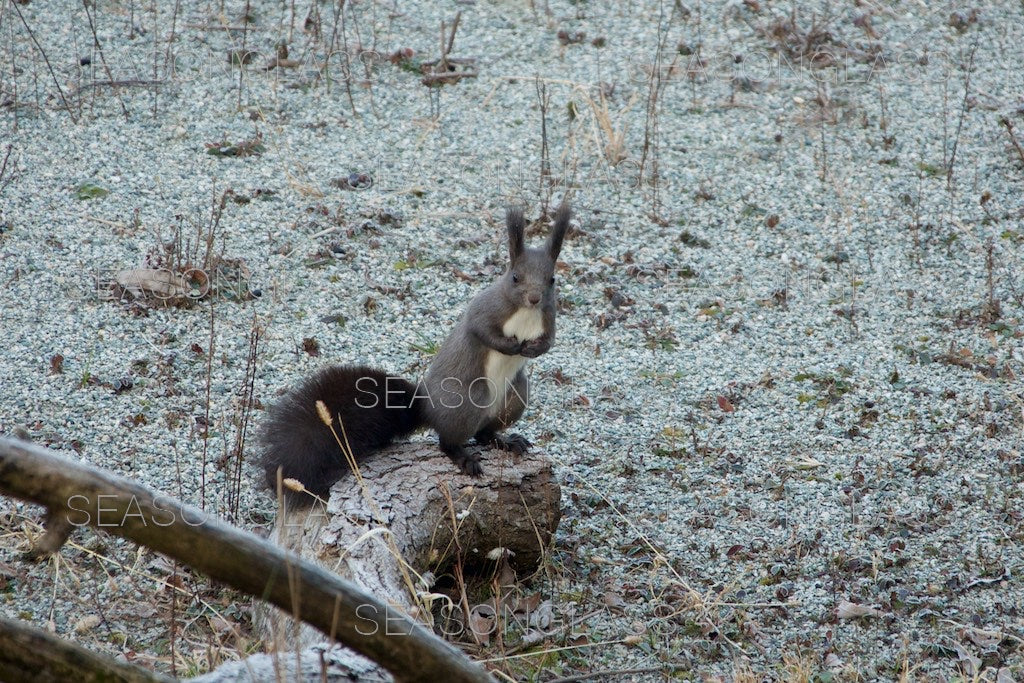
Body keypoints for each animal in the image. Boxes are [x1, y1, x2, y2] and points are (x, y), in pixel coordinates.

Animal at [260, 200, 573, 505]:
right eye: (516, 277)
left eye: (552, 279)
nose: (534, 298)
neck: (525, 313)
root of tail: (427, 407)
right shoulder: (485, 308)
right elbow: (480, 329)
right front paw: (512, 346)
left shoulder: (549, 318)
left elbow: (551, 341)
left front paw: (534, 348)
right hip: (467, 400)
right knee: (448, 440)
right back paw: (463, 456)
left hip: (515, 396)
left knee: (484, 433)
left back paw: (504, 441)